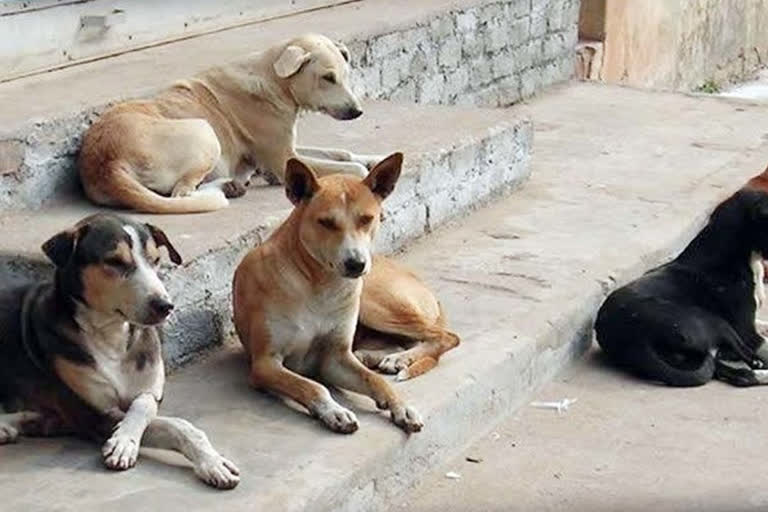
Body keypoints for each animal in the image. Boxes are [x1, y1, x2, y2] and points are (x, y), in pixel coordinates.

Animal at [0, 214, 240, 490]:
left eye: (155, 260)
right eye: (114, 262)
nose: (165, 306)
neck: (111, 335)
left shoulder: (151, 390)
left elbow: (147, 407)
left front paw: (212, 460)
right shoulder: (95, 415)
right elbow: (172, 425)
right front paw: (124, 443)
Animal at [78, 33, 384, 214]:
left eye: (345, 75)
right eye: (327, 78)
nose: (357, 112)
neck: (273, 79)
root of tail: (106, 164)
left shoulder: (290, 148)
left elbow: (342, 152)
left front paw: (375, 158)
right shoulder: (282, 161)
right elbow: (352, 169)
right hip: (204, 131)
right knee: (181, 194)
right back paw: (227, 186)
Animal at [232, 152, 424, 432]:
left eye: (367, 219)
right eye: (325, 223)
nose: (356, 264)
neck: (320, 286)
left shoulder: (335, 359)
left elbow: (374, 380)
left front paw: (402, 406)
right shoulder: (265, 363)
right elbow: (312, 386)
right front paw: (333, 411)